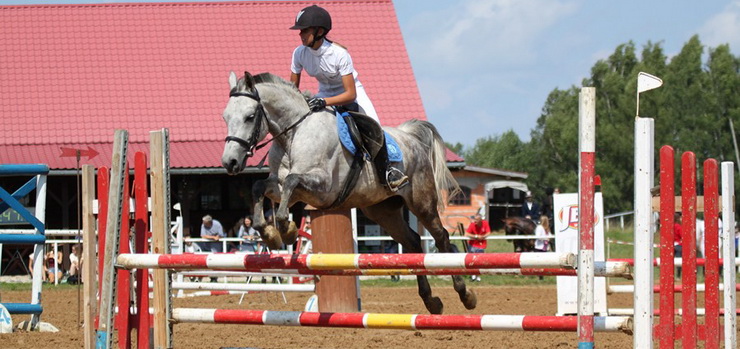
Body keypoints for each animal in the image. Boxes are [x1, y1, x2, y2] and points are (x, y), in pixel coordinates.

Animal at [220, 70, 476, 312]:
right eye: (225, 117)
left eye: (250, 117)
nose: (230, 162)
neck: (293, 134)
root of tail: (411, 138)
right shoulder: (282, 187)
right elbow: (259, 187)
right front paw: (270, 234)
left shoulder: (321, 188)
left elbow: (292, 181)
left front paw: (288, 230)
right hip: (382, 211)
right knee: (413, 242)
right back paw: (431, 301)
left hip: (421, 202)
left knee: (441, 237)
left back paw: (465, 295)